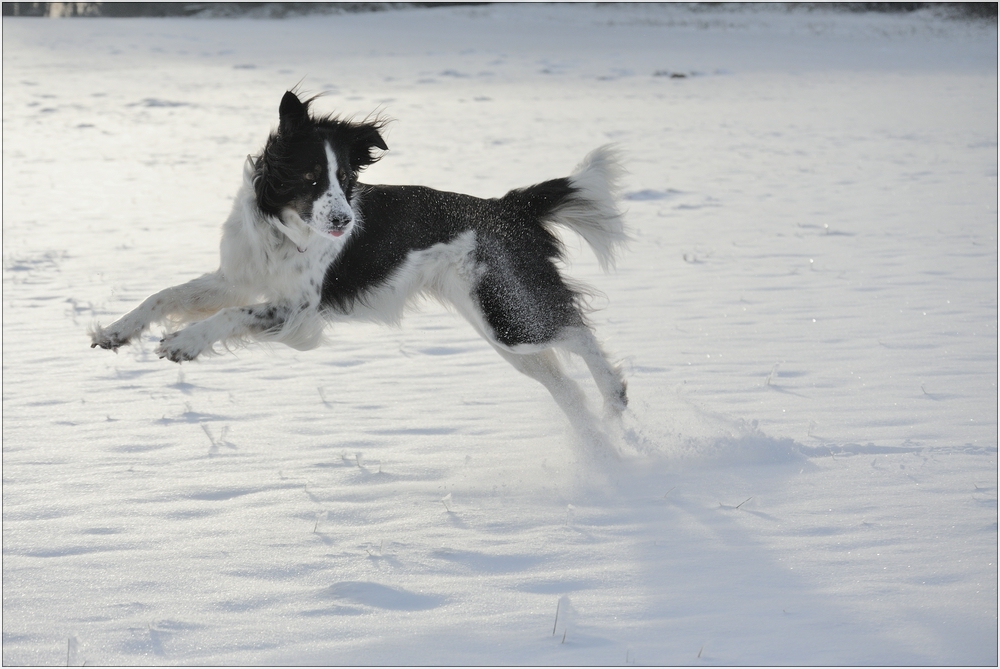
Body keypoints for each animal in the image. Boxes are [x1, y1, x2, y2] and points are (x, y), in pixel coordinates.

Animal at [90, 90, 628, 422]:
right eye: (311, 178)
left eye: (347, 179)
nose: (344, 222)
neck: (283, 231)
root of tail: (506, 206)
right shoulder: (237, 278)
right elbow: (164, 295)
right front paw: (116, 332)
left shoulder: (298, 310)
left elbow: (229, 316)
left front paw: (186, 342)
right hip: (504, 324)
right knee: (563, 381)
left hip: (507, 315)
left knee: (577, 330)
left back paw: (615, 398)